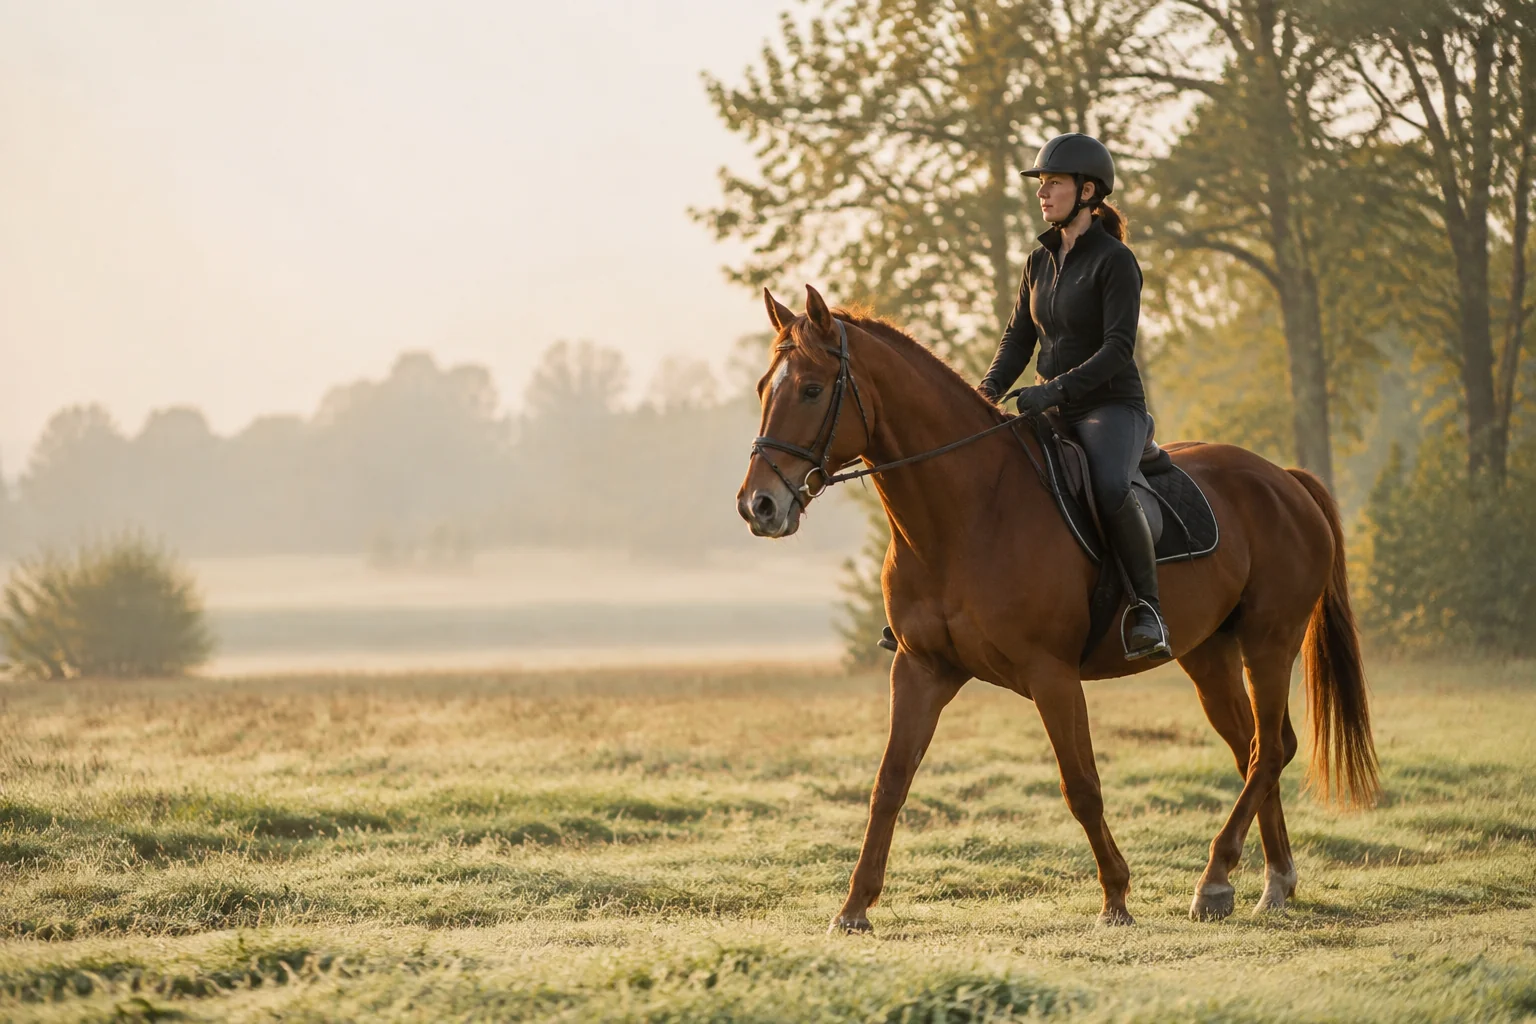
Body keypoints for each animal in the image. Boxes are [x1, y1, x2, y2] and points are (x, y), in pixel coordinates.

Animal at [736, 285, 1378, 932]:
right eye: (765, 387)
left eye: (812, 389)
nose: (758, 505)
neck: (967, 513)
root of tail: (1285, 480)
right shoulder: (921, 669)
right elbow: (889, 783)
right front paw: (853, 908)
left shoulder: (1053, 676)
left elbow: (1081, 785)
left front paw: (1116, 898)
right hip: (1208, 656)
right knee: (1254, 749)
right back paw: (1274, 881)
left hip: (1269, 643)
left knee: (1268, 750)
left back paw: (1216, 880)